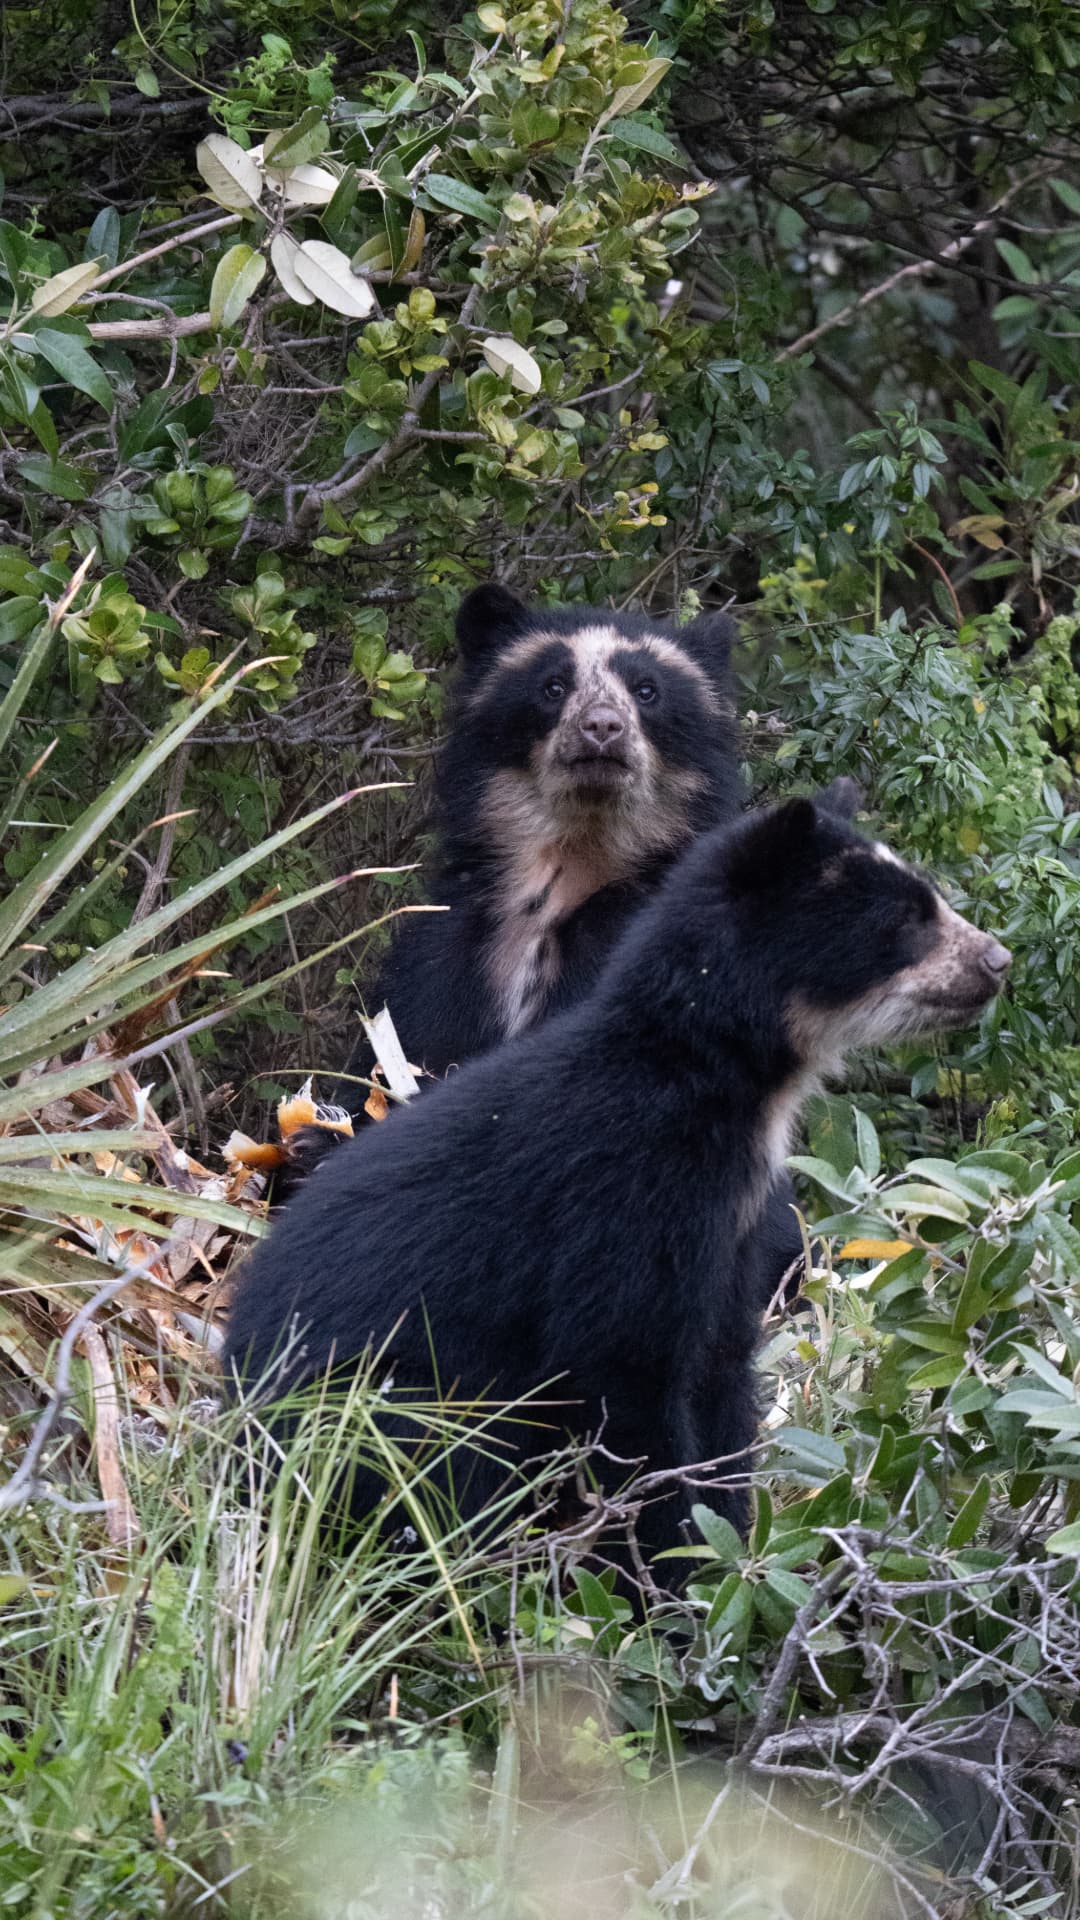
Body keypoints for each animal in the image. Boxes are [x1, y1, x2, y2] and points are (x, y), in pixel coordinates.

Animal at [225, 795, 1010, 1571]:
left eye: (929, 900)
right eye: (905, 920)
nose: (998, 961)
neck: (723, 1086)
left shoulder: (736, 1235)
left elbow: (722, 1382)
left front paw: (729, 1546)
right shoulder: (625, 1200)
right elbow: (626, 1386)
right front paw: (671, 1572)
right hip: (382, 1405)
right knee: (437, 1467)